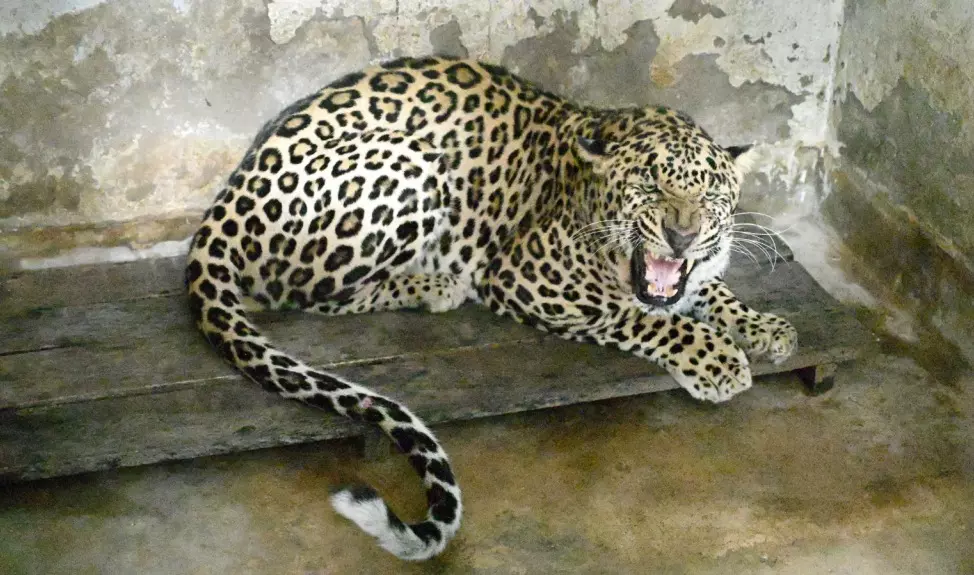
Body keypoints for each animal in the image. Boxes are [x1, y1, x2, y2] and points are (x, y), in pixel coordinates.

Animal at [184, 55, 798, 561]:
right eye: (650, 184)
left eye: (712, 194)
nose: (681, 235)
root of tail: (230, 195)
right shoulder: (531, 278)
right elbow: (640, 316)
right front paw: (717, 360)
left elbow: (712, 291)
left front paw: (764, 327)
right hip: (411, 165)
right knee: (302, 292)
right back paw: (435, 284)